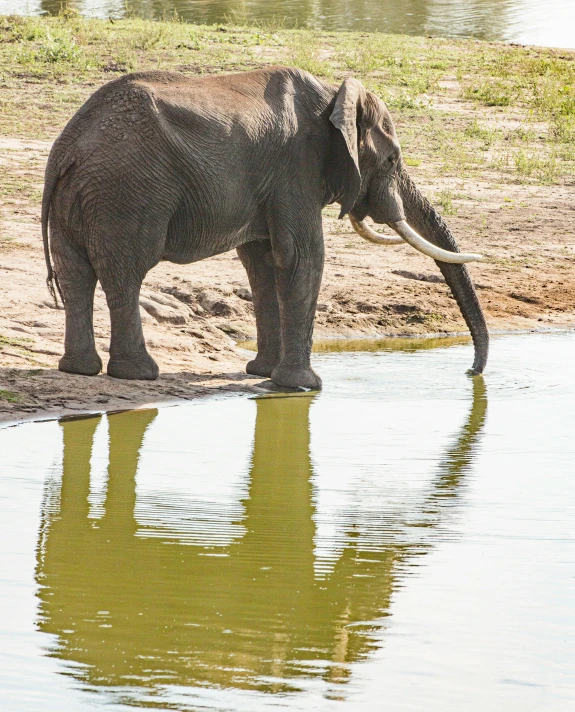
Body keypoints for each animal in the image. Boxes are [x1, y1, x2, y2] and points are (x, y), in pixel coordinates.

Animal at [41, 67, 490, 390]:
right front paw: (304, 387)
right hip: (128, 191)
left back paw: (80, 370)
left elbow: (262, 261)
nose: (472, 372)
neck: (335, 96)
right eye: (393, 159)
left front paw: (262, 373)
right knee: (125, 272)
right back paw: (138, 374)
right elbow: (303, 257)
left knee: (76, 274)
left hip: (85, 198)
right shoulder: (296, 168)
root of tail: (68, 147)